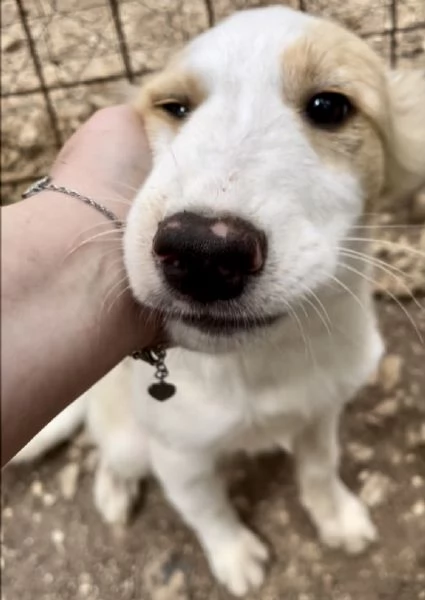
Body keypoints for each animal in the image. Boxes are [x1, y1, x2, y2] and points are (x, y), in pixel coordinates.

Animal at [13, 7, 424, 596]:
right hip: (129, 438)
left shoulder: (322, 412)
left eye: (329, 106)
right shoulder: (178, 455)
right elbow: (207, 510)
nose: (202, 252)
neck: (262, 363)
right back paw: (113, 490)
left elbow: (320, 468)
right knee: (107, 449)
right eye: (174, 107)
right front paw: (233, 554)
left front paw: (337, 517)